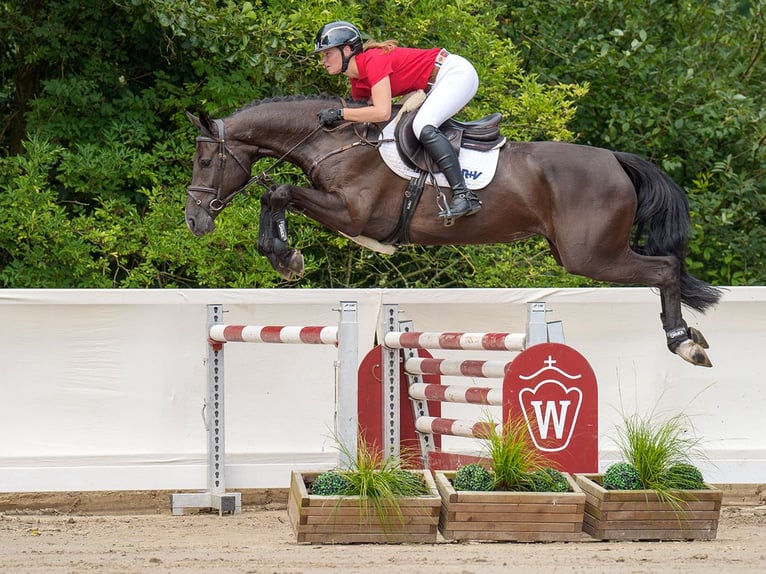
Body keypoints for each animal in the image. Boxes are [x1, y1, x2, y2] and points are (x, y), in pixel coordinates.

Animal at [183, 93, 724, 364]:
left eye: (207, 160)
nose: (193, 220)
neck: (335, 140)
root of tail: (615, 158)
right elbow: (275, 194)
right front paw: (284, 255)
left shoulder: (356, 214)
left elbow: (278, 192)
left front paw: (283, 254)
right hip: (582, 252)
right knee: (665, 268)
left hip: (590, 255)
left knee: (664, 268)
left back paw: (684, 342)